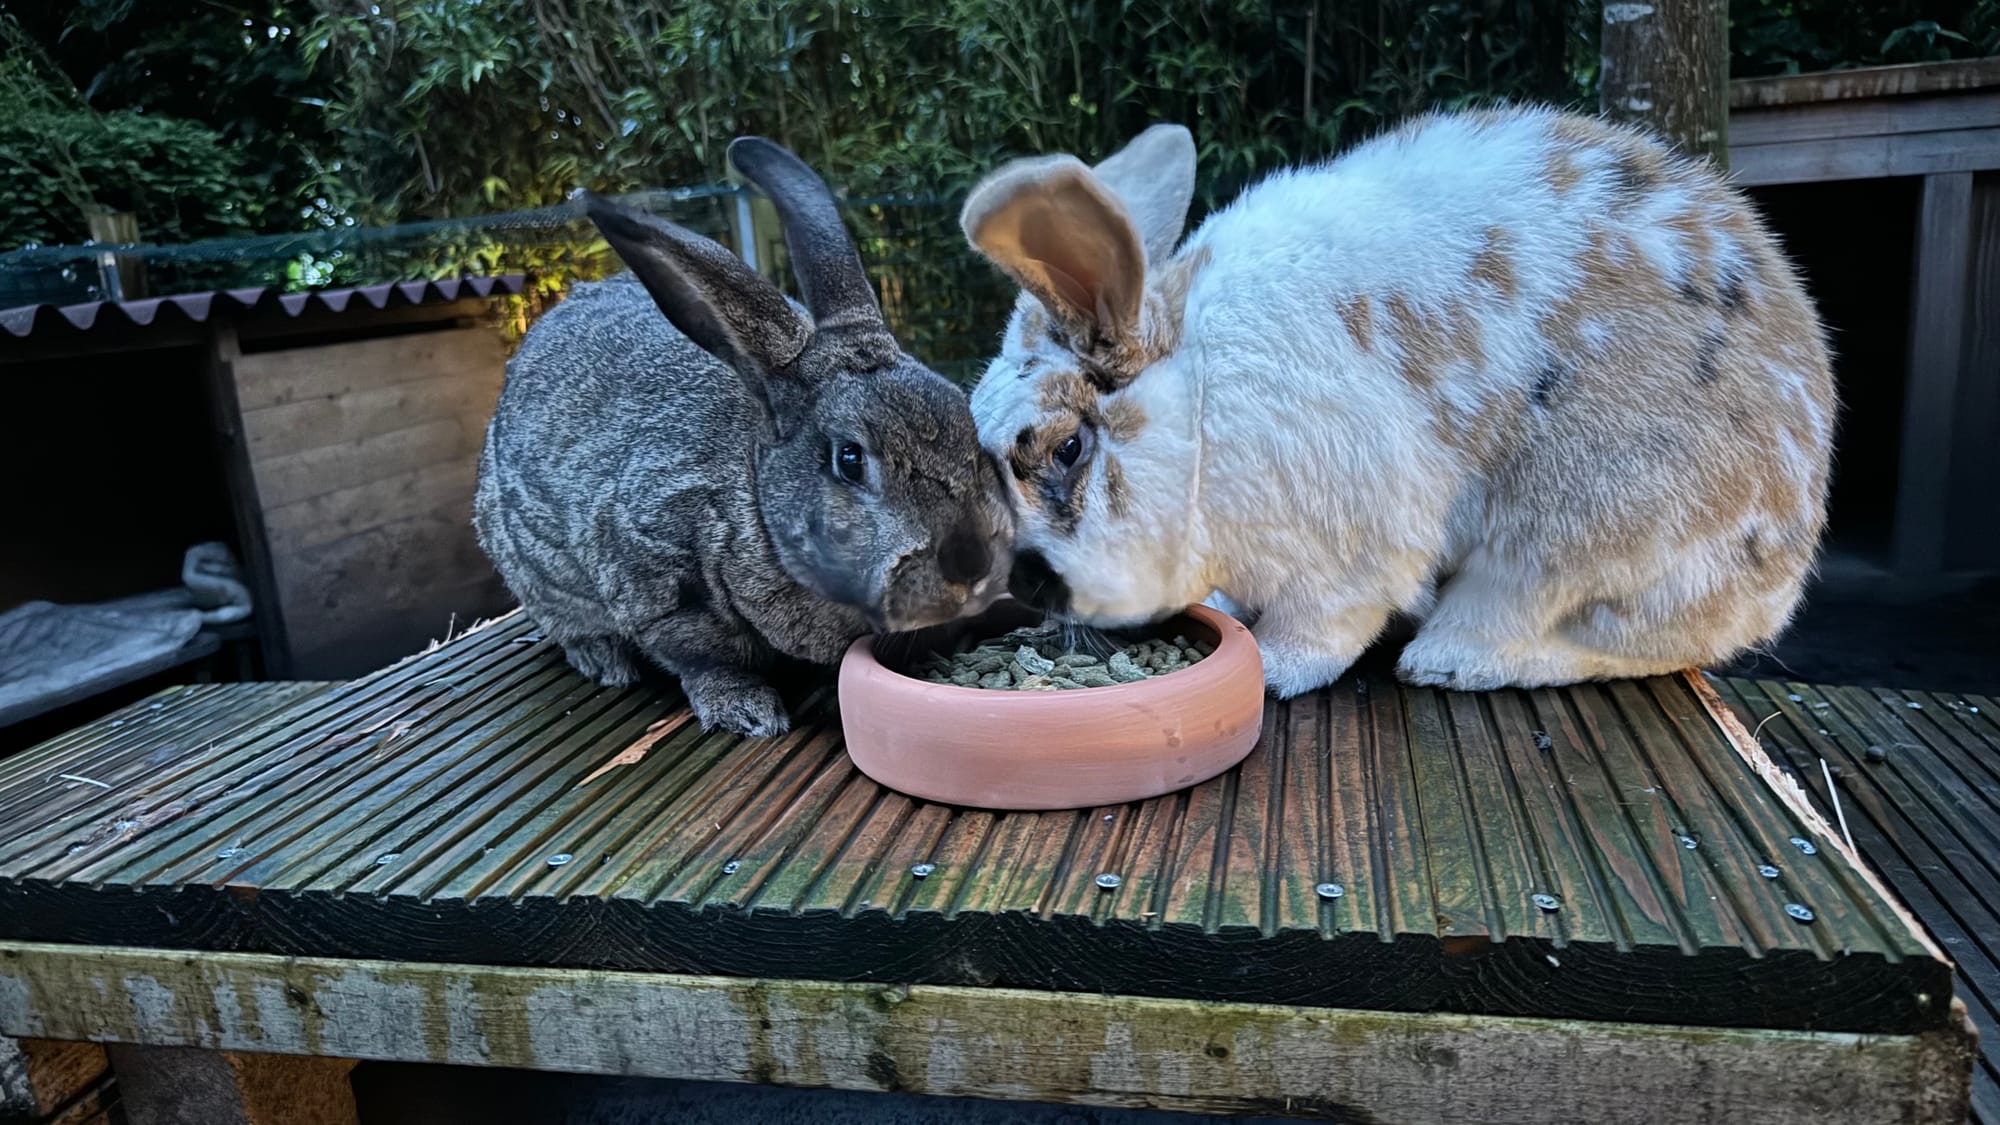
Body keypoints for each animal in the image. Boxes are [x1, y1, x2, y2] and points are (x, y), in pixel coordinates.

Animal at [472, 138, 1016, 736]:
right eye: (850, 459)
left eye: (968, 425)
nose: (970, 565)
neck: (755, 497)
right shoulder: (657, 581)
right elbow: (704, 659)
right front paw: (747, 712)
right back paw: (605, 661)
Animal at [960, 109, 1832, 696]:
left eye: (1069, 447)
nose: (1025, 583)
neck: (1203, 411)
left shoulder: (1349, 549)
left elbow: (1326, 625)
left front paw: (1269, 667)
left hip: (1578, 534)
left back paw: (1451, 659)